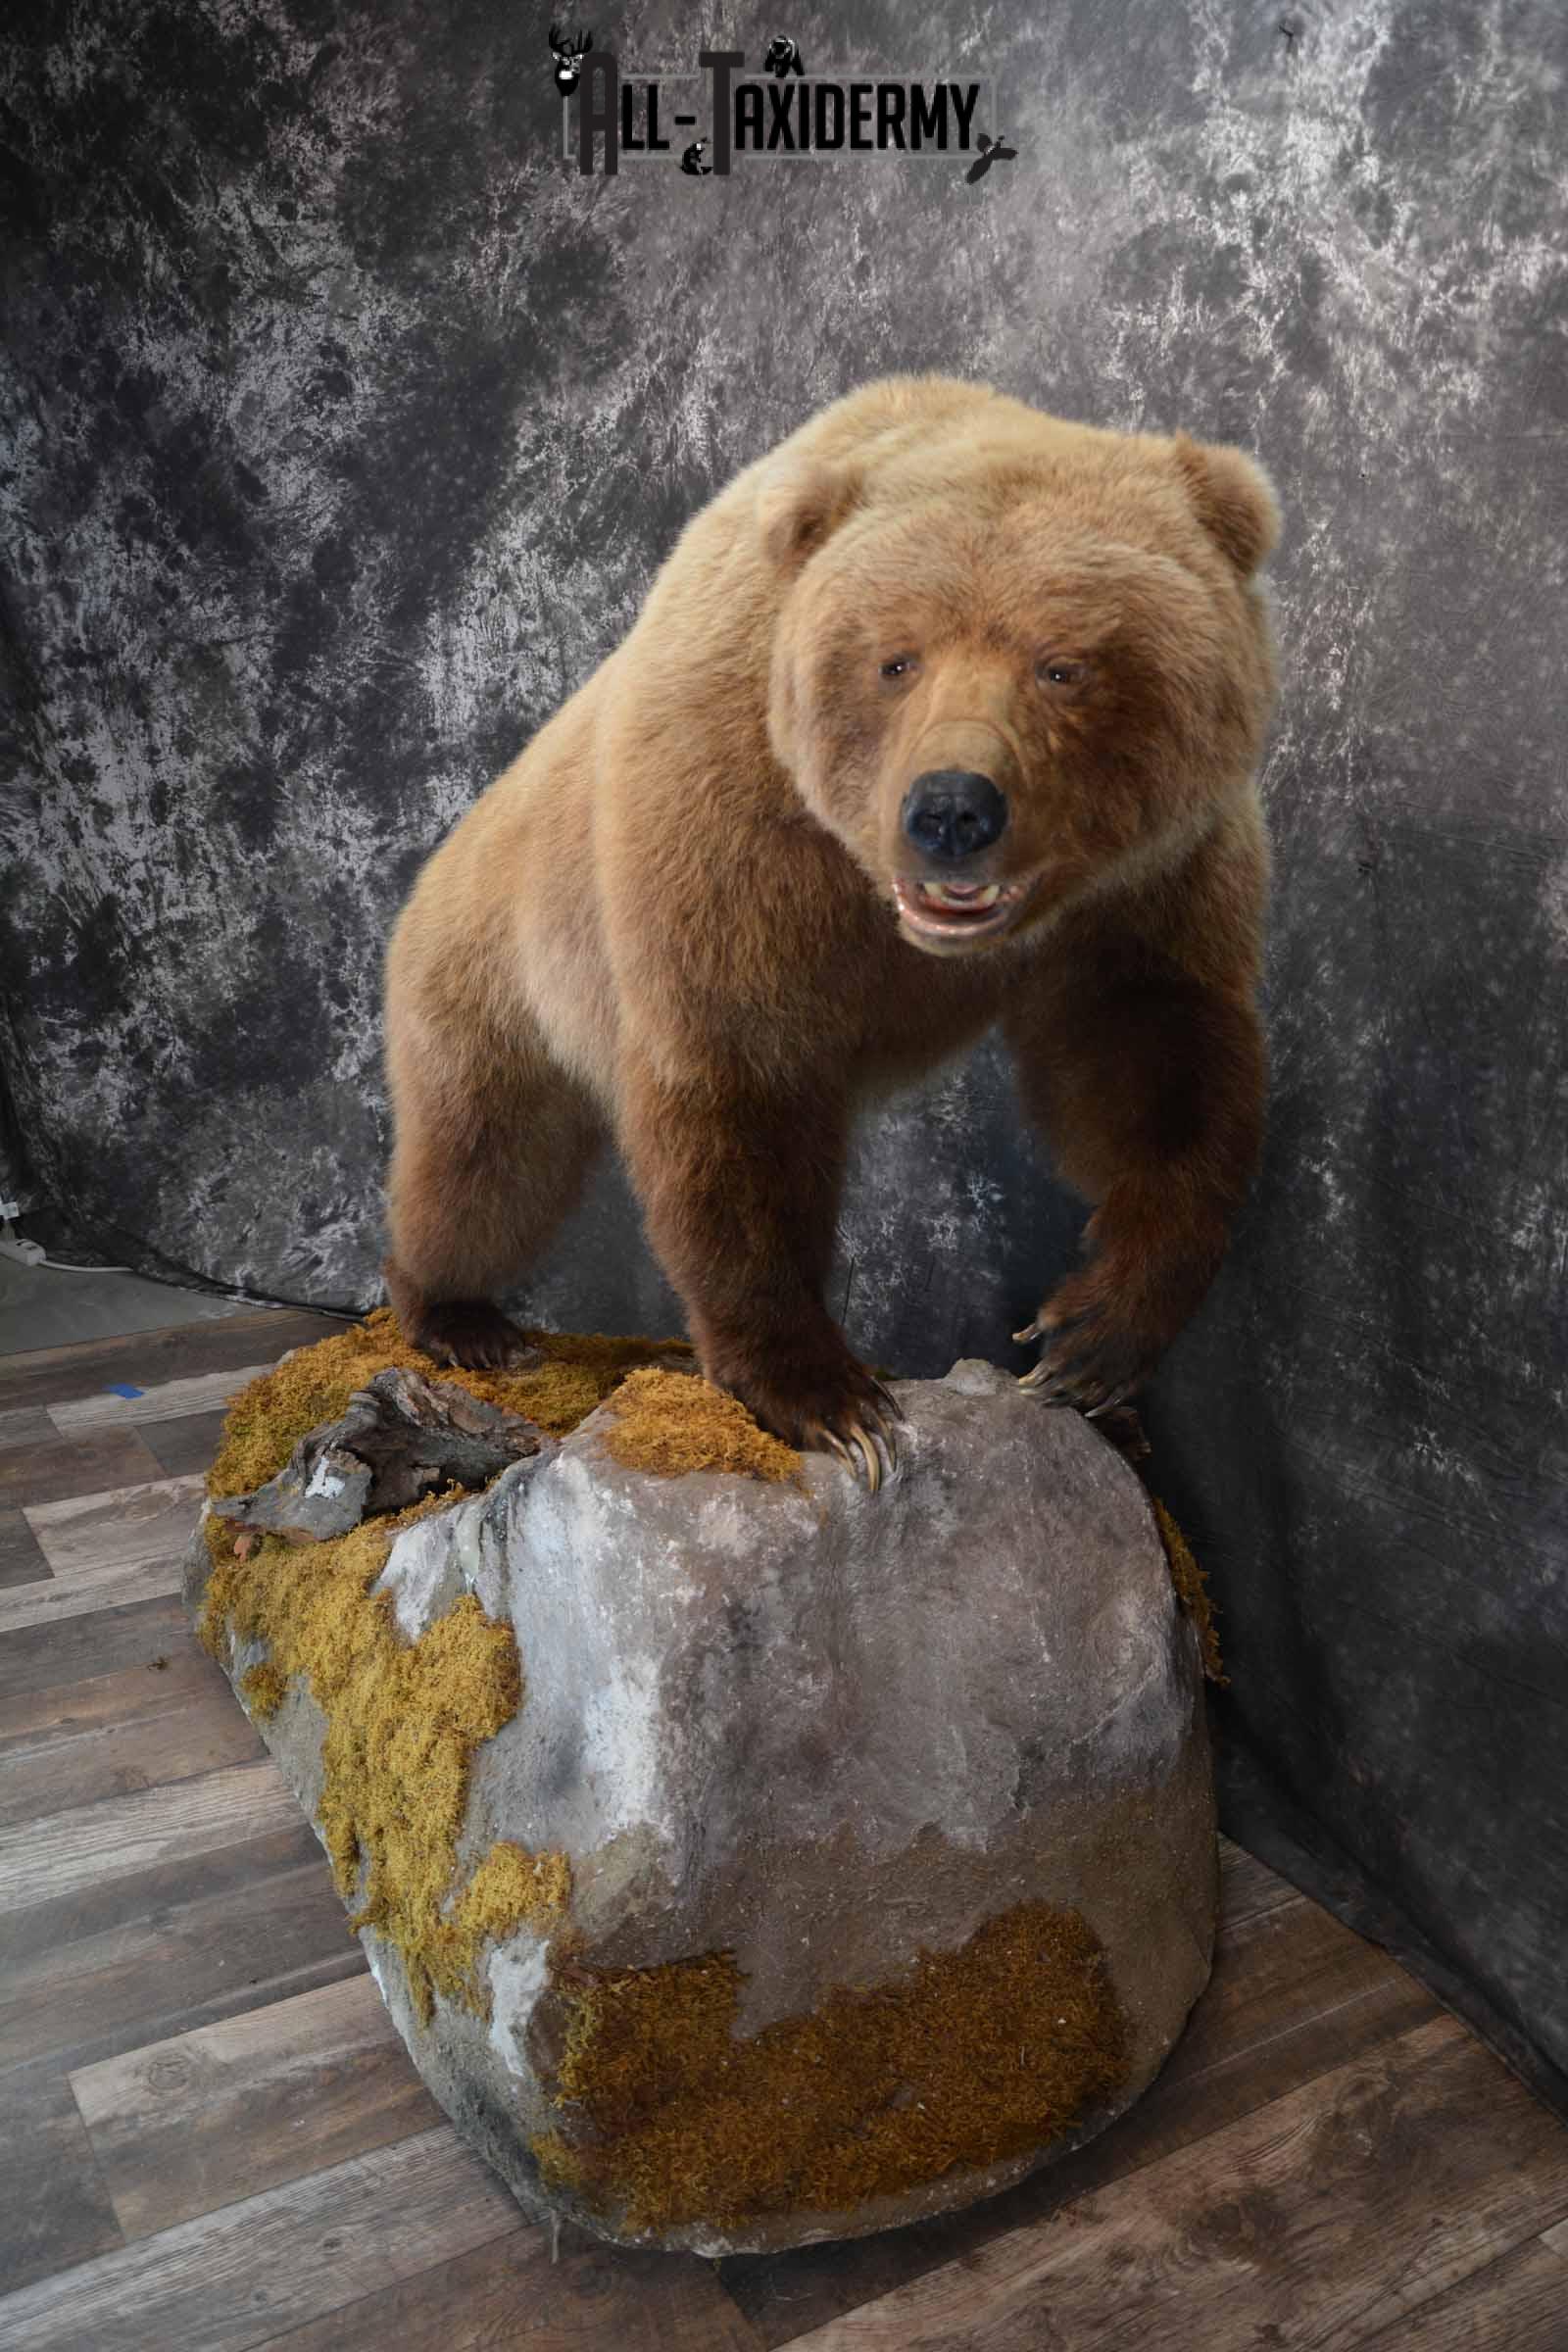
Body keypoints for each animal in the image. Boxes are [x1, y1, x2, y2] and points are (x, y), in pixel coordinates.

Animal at [382, 374, 1279, 1489]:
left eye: (1063, 665)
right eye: (896, 659)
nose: (951, 808)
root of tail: (435, 862)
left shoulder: (1148, 879)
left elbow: (1153, 1054)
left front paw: (1089, 1339)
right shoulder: (734, 839)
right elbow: (738, 1089)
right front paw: (829, 1396)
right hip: (494, 972)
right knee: (484, 1164)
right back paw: (457, 1313)